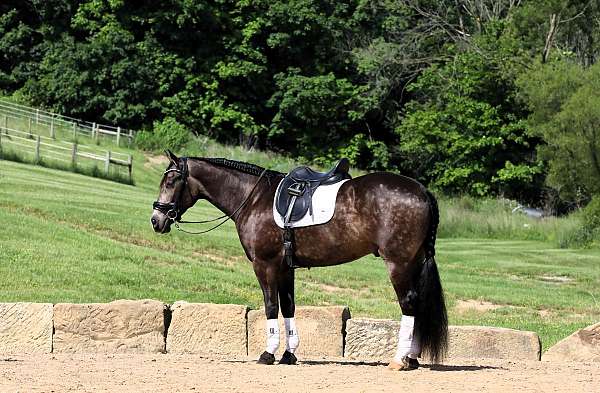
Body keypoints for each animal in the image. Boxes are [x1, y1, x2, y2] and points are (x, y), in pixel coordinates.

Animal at [152, 150, 448, 368]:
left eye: (170, 182)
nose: (156, 220)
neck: (253, 198)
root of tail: (423, 191)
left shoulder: (264, 265)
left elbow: (271, 307)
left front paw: (268, 353)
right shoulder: (285, 268)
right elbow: (288, 307)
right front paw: (288, 354)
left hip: (398, 264)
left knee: (408, 303)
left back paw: (399, 360)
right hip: (414, 263)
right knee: (418, 304)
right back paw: (412, 358)